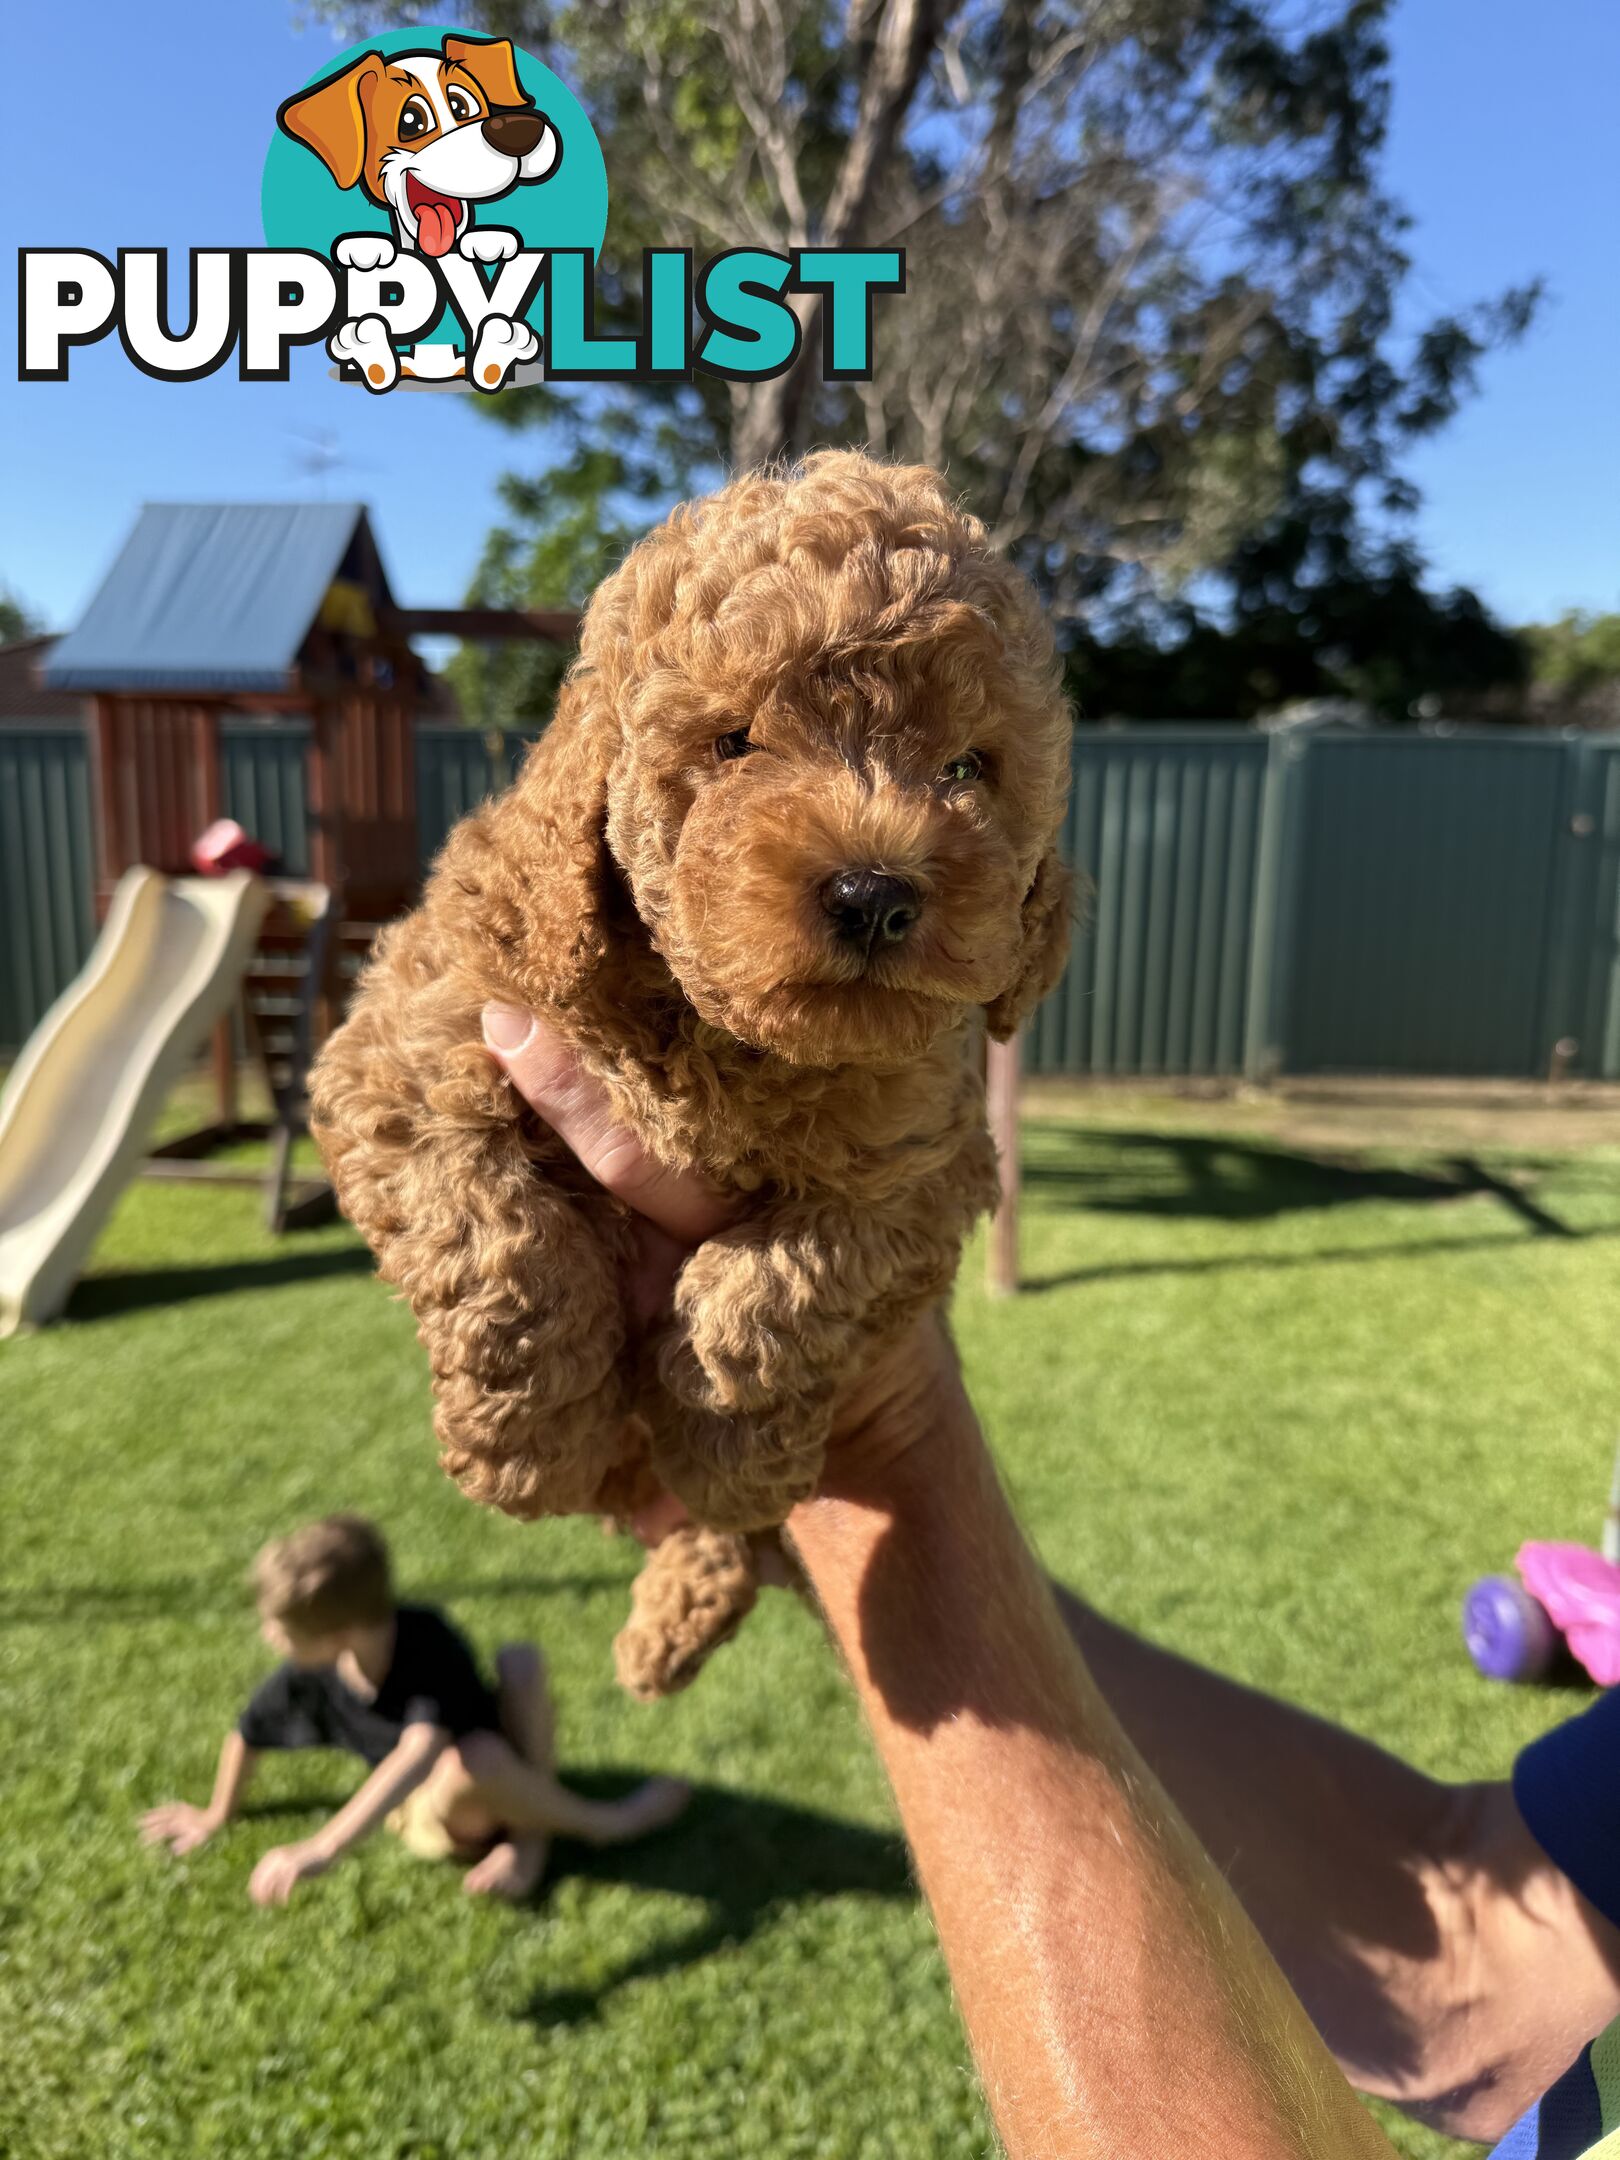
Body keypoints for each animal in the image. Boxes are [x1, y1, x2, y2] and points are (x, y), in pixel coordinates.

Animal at [315, 455, 1080, 1693]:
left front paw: (725, 1439)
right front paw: (529, 1443)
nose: (875, 891)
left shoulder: (924, 1160)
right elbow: (501, 1240)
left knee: (739, 1539)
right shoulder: (409, 1050)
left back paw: (688, 1588)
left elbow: (783, 1281)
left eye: (967, 768)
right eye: (734, 744)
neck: (725, 1040)